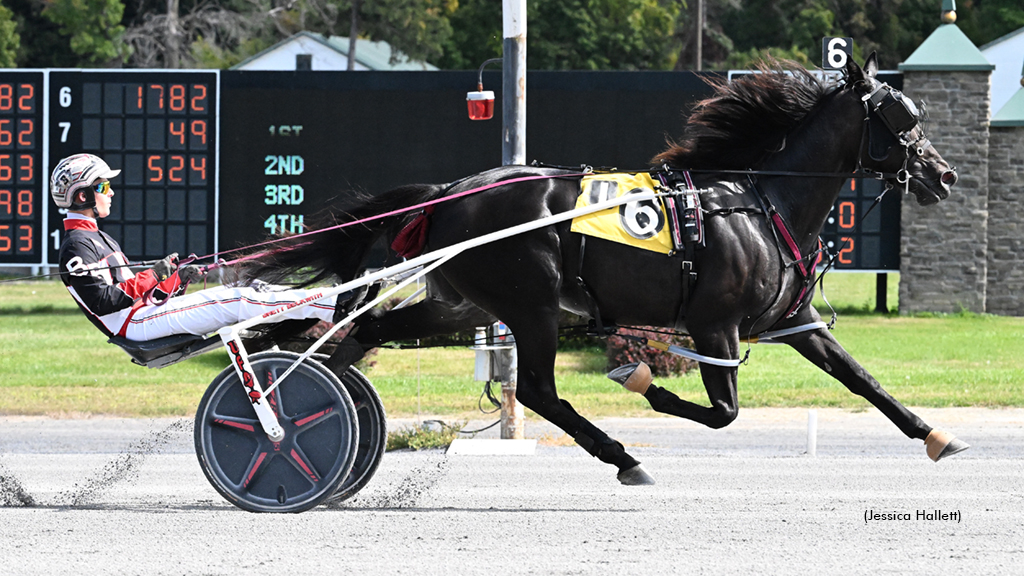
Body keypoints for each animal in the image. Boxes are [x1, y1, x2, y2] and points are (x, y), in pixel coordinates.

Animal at [243, 56, 962, 481]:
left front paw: (934, 435)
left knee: (368, 333)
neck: (758, 203)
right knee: (537, 390)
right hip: (532, 304)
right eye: (901, 115)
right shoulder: (715, 325)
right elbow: (723, 413)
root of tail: (451, 191)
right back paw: (622, 456)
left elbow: (863, 379)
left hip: (464, 303)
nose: (943, 174)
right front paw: (644, 381)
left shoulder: (794, 322)